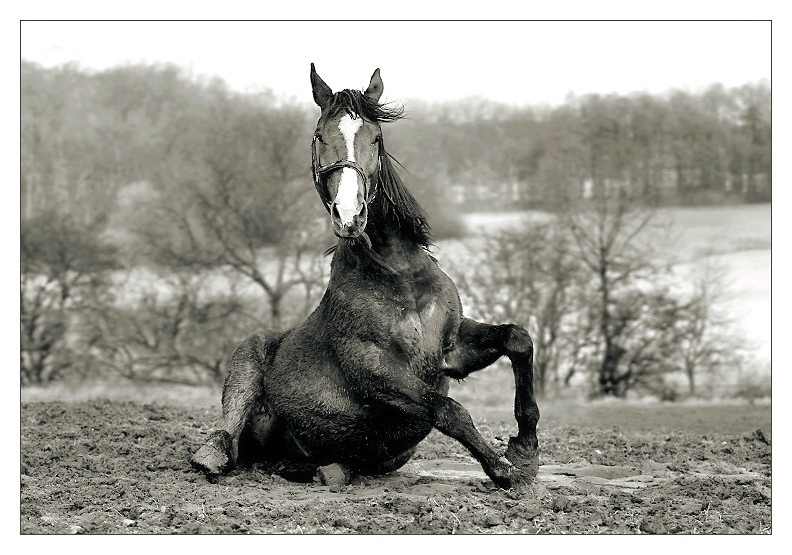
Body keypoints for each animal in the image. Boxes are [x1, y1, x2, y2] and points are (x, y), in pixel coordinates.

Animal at [191, 64, 540, 490]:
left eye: (375, 137)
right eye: (320, 136)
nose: (349, 215)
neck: (398, 274)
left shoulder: (452, 349)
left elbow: (517, 339)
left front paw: (524, 449)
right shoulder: (370, 368)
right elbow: (449, 410)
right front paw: (504, 470)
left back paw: (324, 470)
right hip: (246, 359)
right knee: (231, 434)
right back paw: (212, 457)